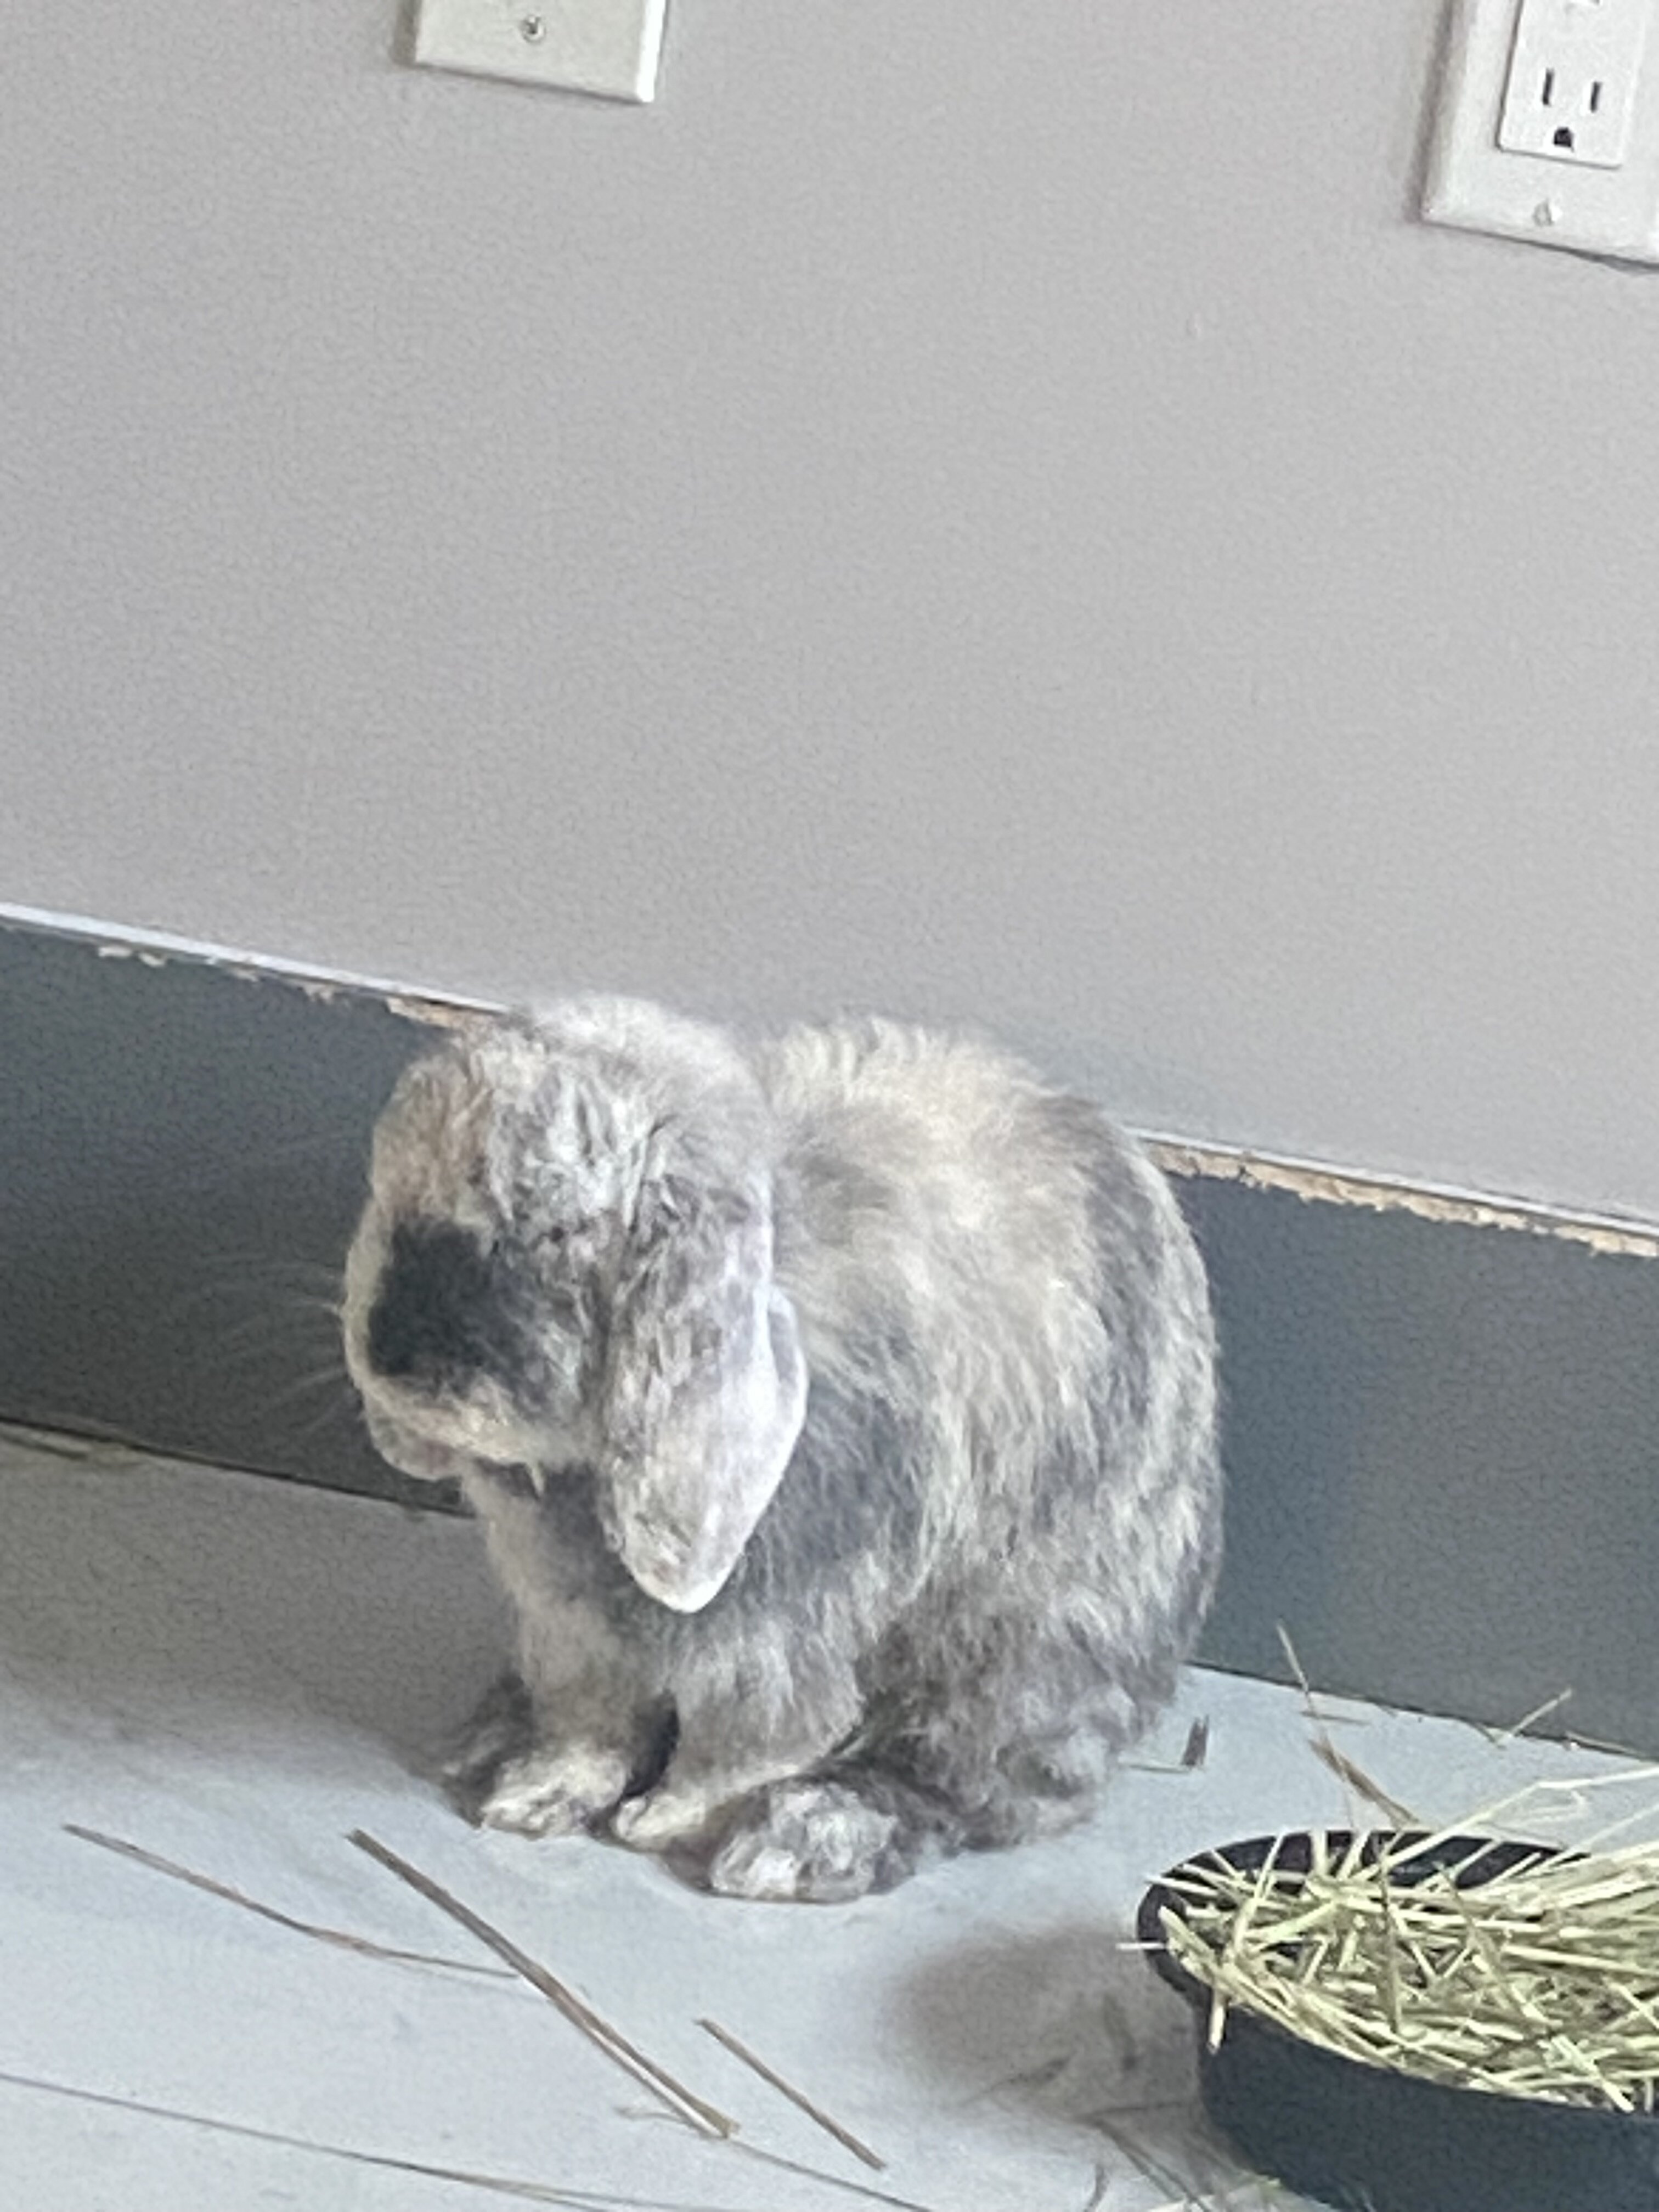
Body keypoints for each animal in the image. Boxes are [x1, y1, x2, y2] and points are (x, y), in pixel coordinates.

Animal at [341, 997, 1222, 1902]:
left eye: (560, 1231)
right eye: (389, 1190)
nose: (391, 1354)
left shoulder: (773, 1643)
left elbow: (743, 1745)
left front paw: (664, 1824)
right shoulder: (574, 1631)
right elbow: (588, 1727)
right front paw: (530, 1797)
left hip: (1018, 1658)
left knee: (957, 1783)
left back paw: (795, 1845)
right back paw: (486, 1743)